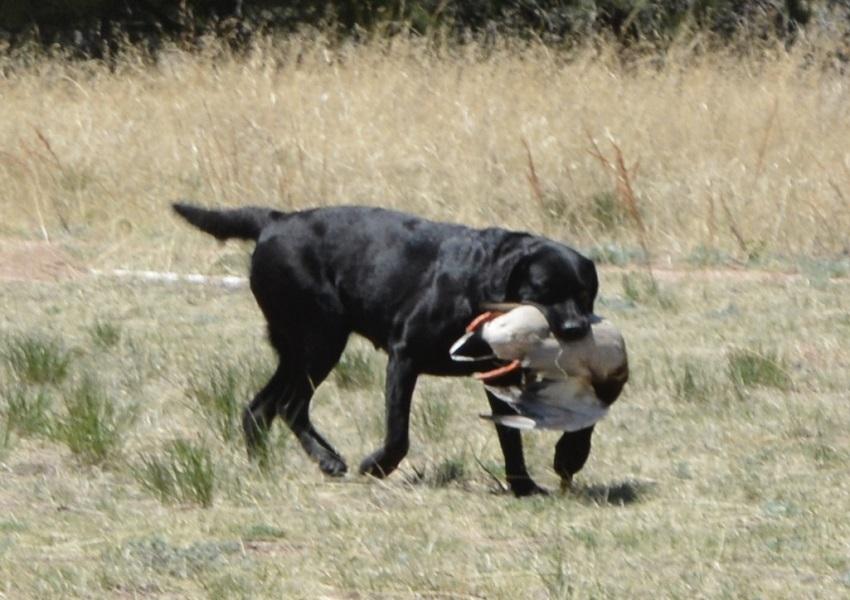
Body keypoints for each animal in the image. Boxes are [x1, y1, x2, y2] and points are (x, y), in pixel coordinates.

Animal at [172, 203, 596, 496]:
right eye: (543, 291)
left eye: (586, 294)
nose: (576, 329)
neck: (479, 281)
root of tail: (276, 219)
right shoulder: (404, 356)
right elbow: (398, 434)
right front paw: (376, 467)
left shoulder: (501, 375)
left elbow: (515, 435)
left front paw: (534, 479)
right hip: (322, 339)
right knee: (290, 405)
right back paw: (328, 460)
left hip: (298, 347)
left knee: (261, 407)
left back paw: (264, 465)